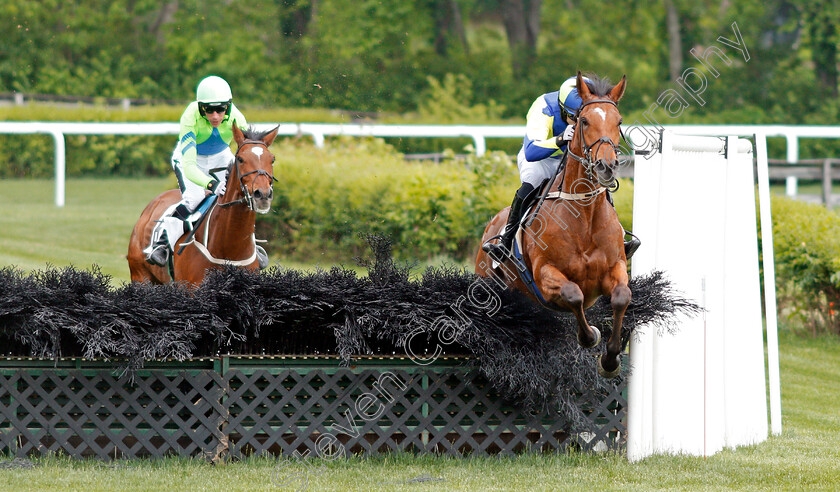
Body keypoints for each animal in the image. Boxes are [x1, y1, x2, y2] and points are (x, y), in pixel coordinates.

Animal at [480, 73, 632, 378]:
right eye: (583, 121)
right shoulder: (545, 274)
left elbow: (622, 296)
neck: (584, 216)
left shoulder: (616, 267)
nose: (606, 167)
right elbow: (574, 295)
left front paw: (610, 359)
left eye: (619, 121)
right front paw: (590, 336)